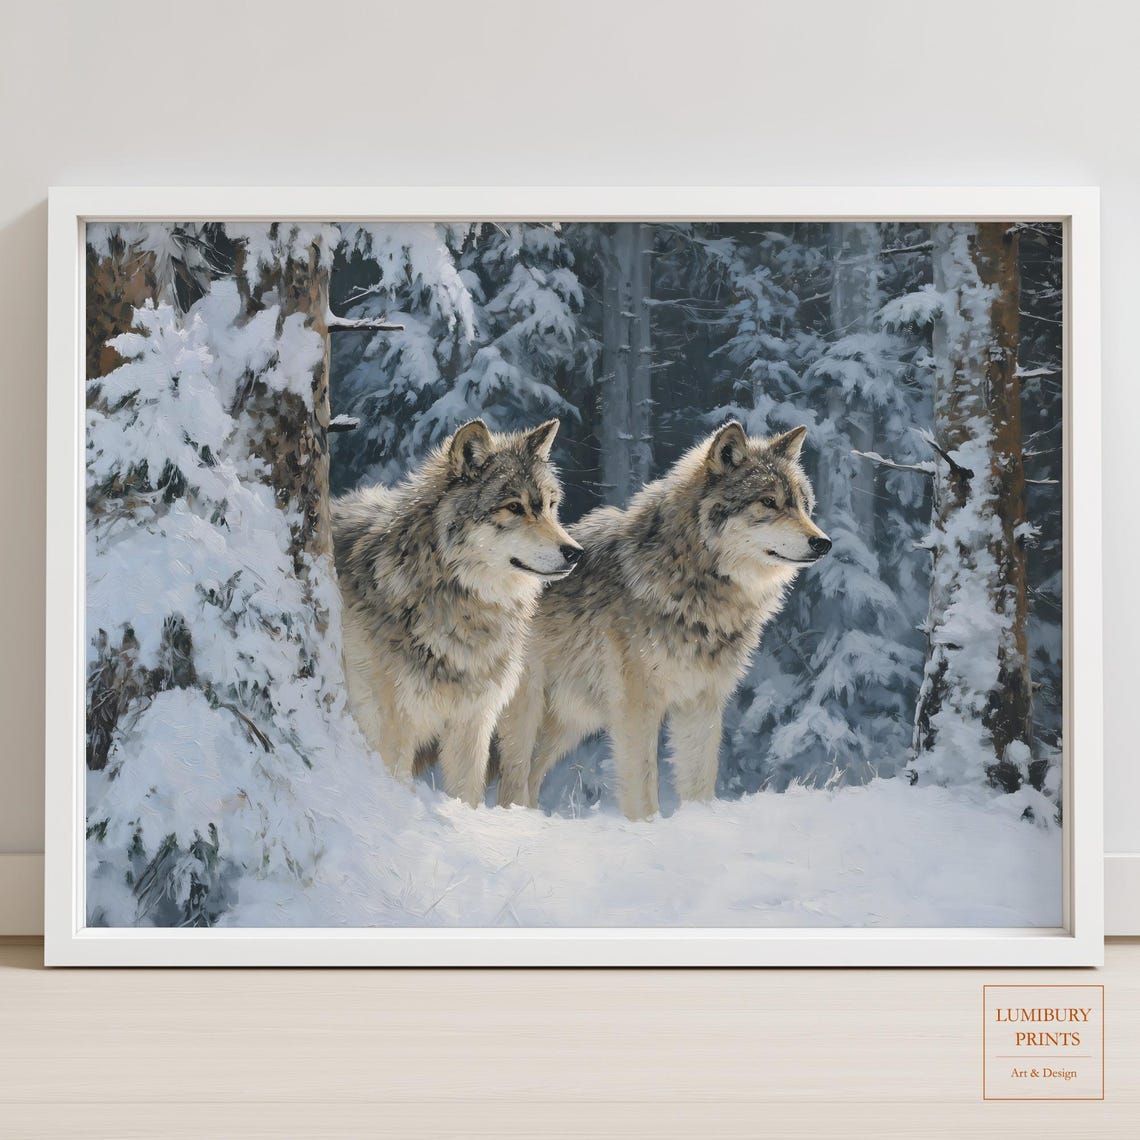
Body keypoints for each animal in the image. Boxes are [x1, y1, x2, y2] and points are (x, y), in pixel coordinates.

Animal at [332, 418, 582, 806]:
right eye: (514, 507)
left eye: (551, 505)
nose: (575, 552)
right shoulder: (392, 729)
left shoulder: (471, 724)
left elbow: (467, 796)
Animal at [495, 420, 830, 820]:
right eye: (768, 502)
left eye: (804, 505)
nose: (823, 543)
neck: (693, 582)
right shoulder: (638, 706)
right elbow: (643, 791)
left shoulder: (702, 703)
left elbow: (700, 785)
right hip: (527, 712)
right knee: (511, 781)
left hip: (569, 723)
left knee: (528, 781)